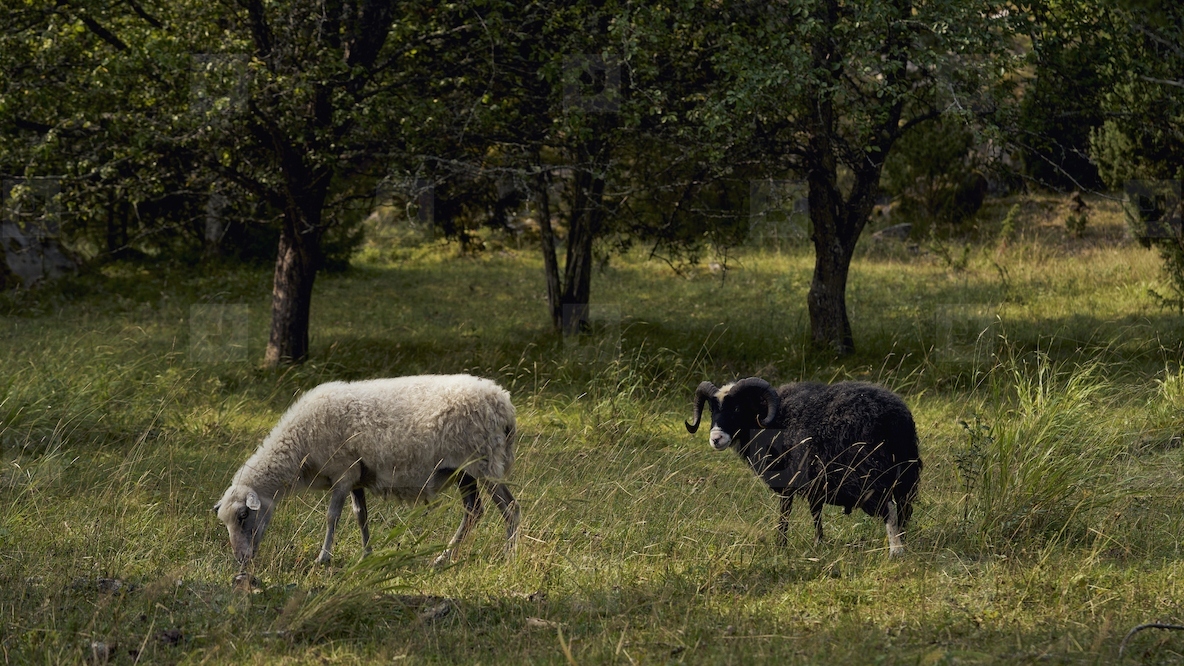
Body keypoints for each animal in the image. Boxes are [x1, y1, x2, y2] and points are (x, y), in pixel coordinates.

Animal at [214, 374, 520, 568]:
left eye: (243, 515)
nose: (241, 560)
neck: (298, 447)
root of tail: (504, 403)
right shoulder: (357, 477)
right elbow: (360, 516)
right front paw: (367, 555)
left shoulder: (343, 473)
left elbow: (332, 516)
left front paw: (323, 558)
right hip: (463, 472)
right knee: (473, 511)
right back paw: (442, 558)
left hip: (483, 463)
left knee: (509, 507)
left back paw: (508, 555)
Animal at [685, 377, 922, 556]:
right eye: (712, 410)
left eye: (736, 408)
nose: (716, 439)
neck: (772, 419)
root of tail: (892, 417)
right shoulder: (815, 483)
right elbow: (815, 513)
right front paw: (818, 543)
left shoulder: (790, 479)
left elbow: (784, 513)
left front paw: (781, 546)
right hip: (906, 472)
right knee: (904, 508)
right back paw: (904, 541)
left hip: (866, 475)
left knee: (889, 508)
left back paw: (896, 551)